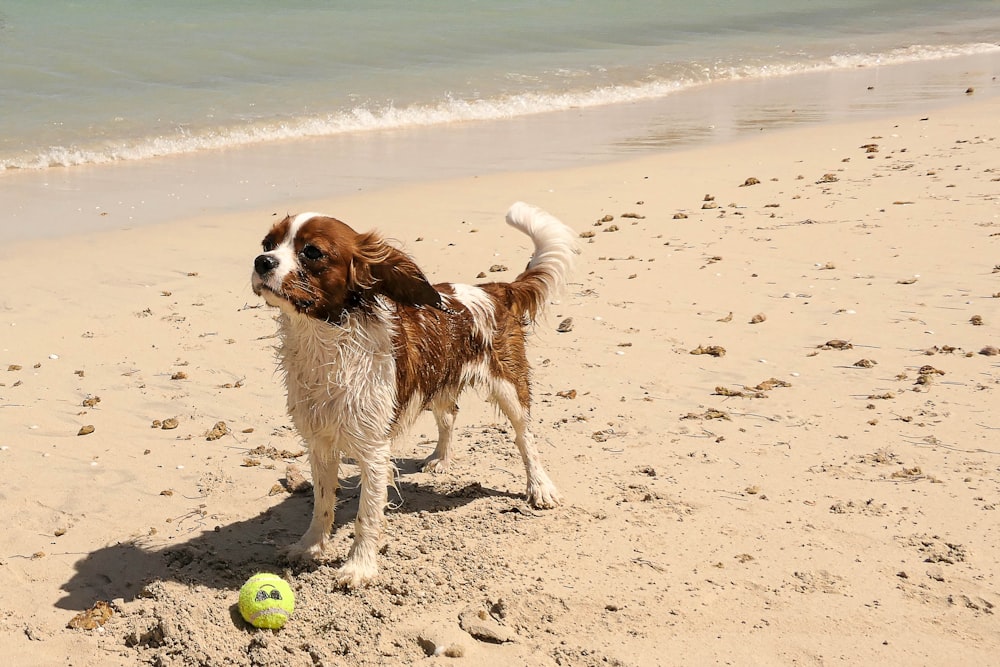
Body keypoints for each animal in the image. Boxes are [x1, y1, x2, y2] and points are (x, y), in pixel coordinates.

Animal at [250, 201, 580, 588]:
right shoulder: (320, 442)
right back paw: (440, 459)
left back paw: (539, 487)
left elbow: (366, 515)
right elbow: (322, 504)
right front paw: (310, 547)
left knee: (524, 436)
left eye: (312, 252)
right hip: (437, 379)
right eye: (268, 243)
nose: (262, 261)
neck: (325, 338)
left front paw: (358, 567)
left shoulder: (373, 450)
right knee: (449, 415)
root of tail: (494, 289)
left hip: (509, 386)